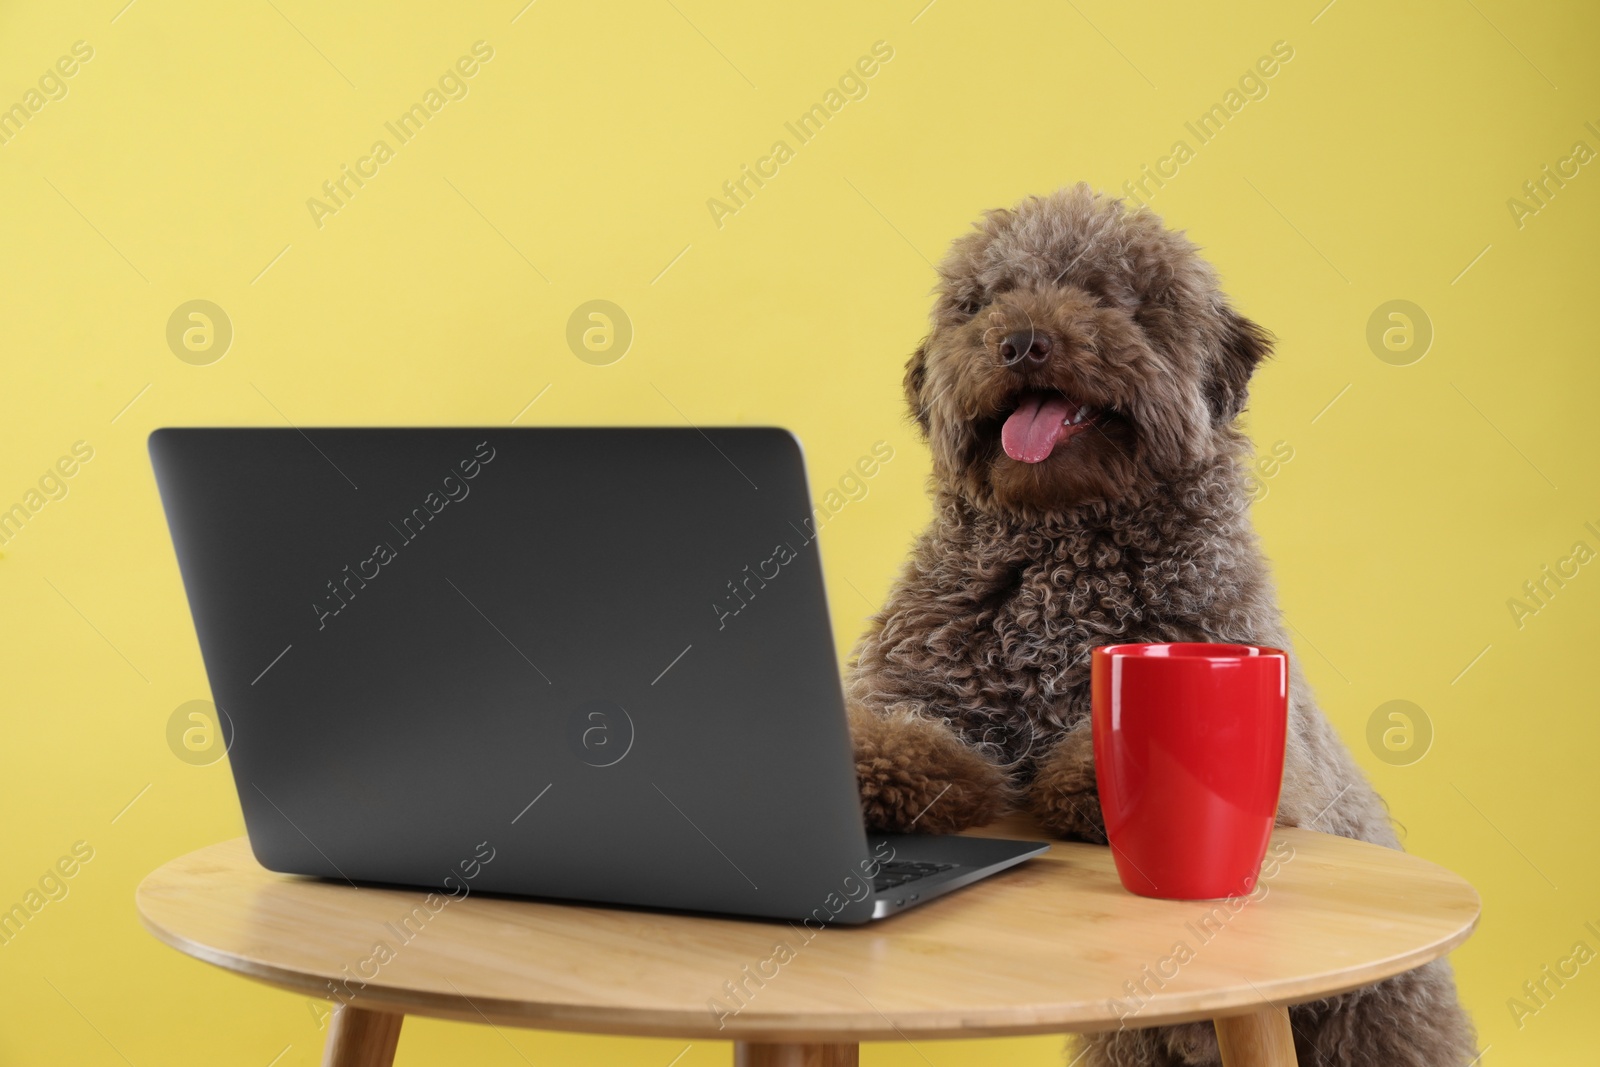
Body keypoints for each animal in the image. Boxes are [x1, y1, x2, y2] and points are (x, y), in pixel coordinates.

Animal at [844, 187, 1478, 1062]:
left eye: (1107, 295)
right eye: (982, 301)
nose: (1021, 340)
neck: (1062, 551)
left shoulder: (1286, 761)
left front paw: (1085, 789)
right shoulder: (907, 682)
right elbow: (887, 735)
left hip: (1380, 1019)